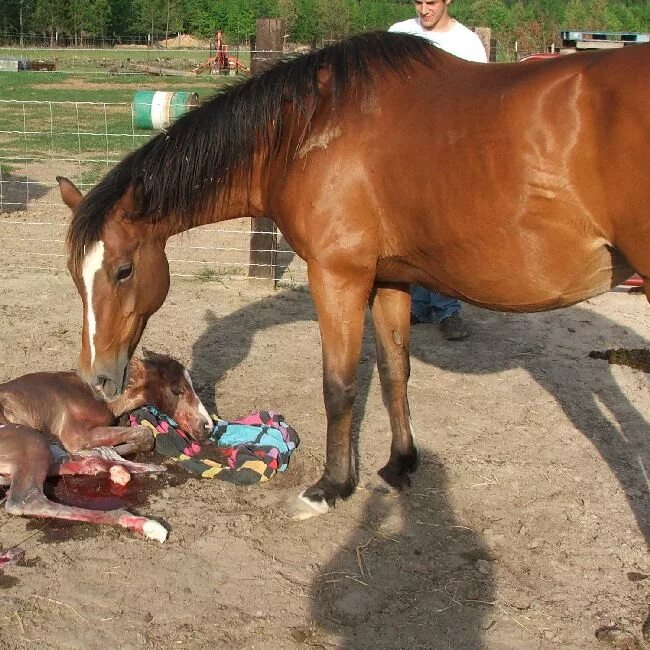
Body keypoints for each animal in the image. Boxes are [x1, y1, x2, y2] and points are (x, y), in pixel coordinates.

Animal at [0, 350, 210, 540]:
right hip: (30, 440)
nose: (207, 427)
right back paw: (145, 523)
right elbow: (145, 434)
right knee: (26, 500)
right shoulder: (76, 435)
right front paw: (106, 451)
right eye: (176, 390)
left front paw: (105, 453)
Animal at [62, 33, 648, 520]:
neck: (309, 130)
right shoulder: (391, 280)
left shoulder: (338, 278)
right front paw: (401, 464)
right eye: (73, 274)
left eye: (123, 270)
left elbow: (339, 385)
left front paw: (331, 487)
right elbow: (394, 373)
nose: (95, 377)